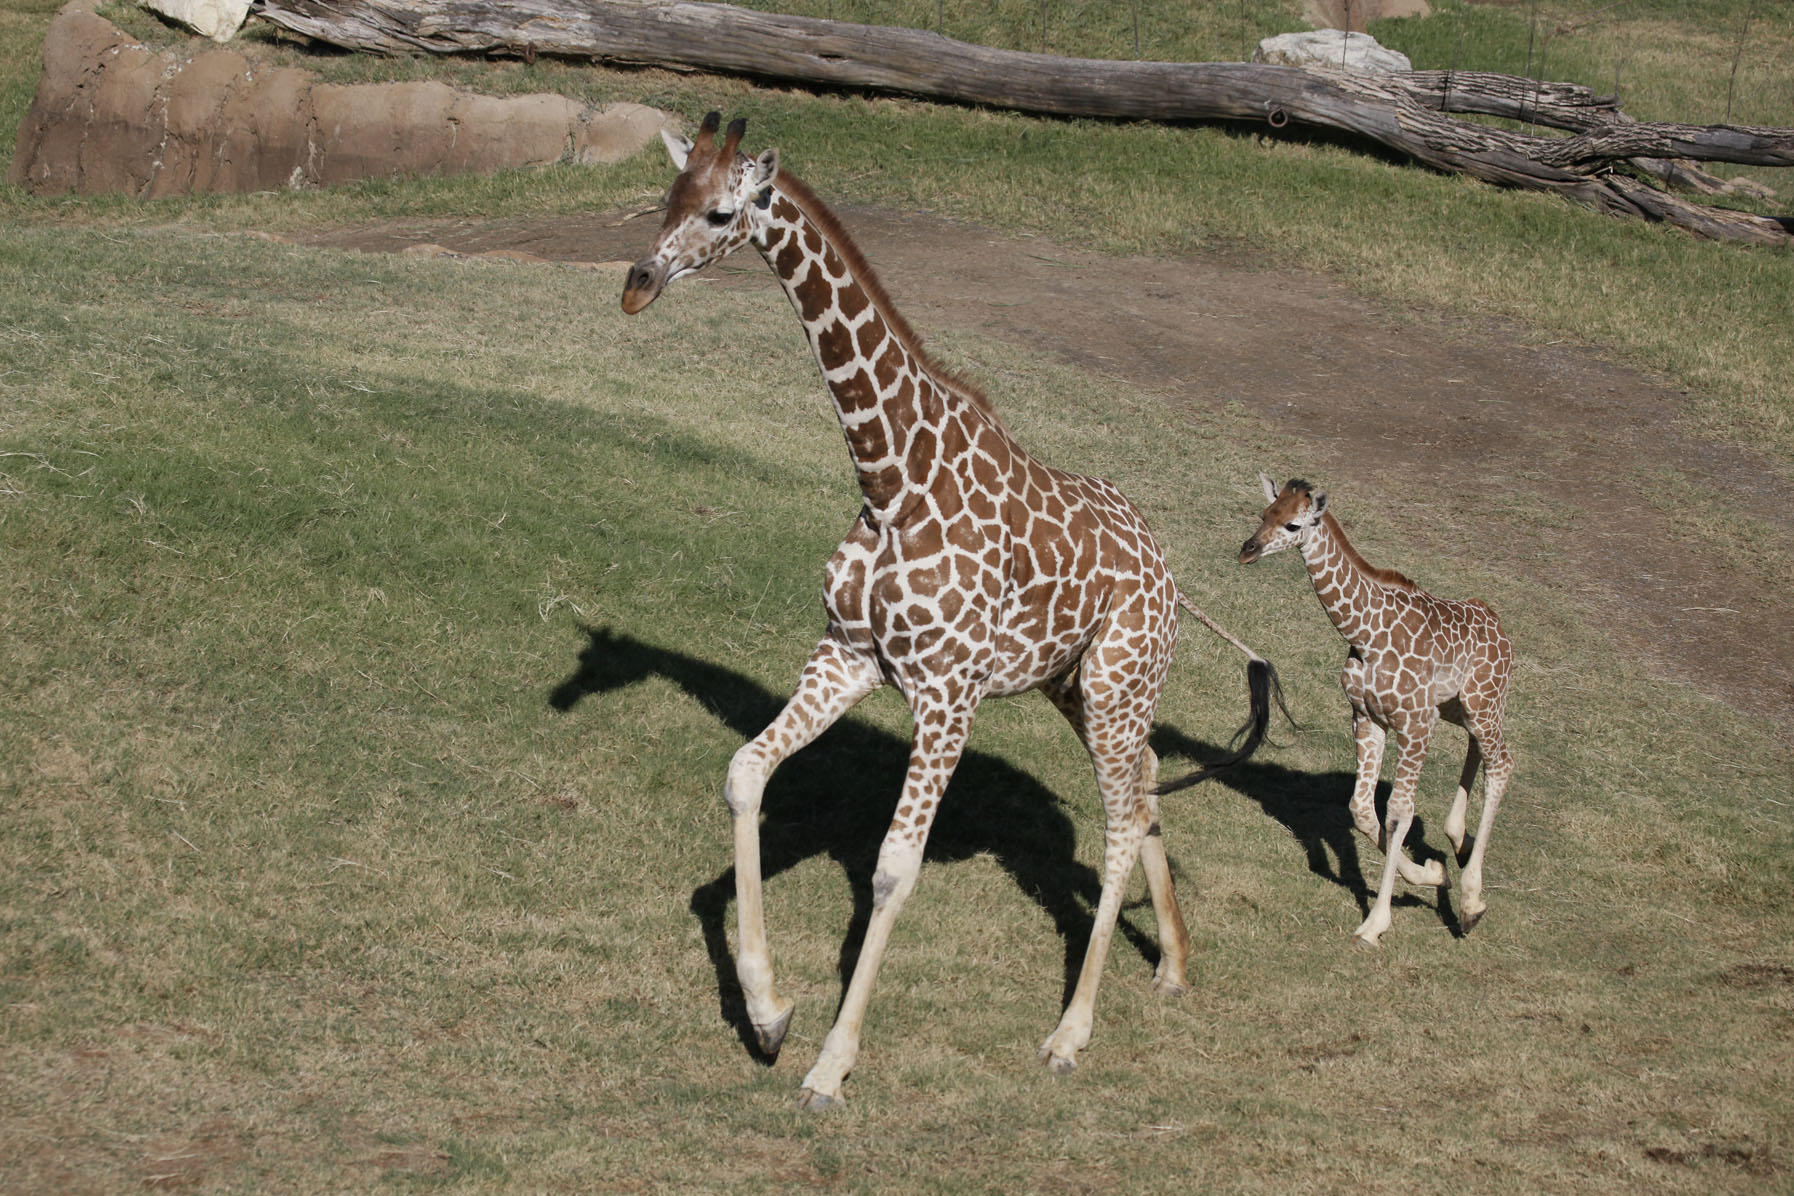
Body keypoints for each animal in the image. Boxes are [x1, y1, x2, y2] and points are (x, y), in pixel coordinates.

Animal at [624, 116, 1284, 1111]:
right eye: (665, 197)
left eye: (721, 213)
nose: (638, 282)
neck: (892, 478)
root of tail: (1172, 577)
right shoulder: (848, 655)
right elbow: (744, 774)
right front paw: (768, 1013)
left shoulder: (946, 693)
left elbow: (893, 870)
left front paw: (830, 1064)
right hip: (1079, 687)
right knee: (1145, 786)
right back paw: (1172, 963)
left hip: (1115, 685)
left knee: (1121, 823)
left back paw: (1070, 1033)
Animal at [1248, 473, 1514, 946]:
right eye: (1265, 513)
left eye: (1293, 525)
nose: (1248, 549)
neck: (1366, 634)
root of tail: (1499, 625)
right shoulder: (1368, 716)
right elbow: (1361, 809)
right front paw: (1431, 873)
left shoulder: (1414, 725)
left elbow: (1398, 813)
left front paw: (1375, 922)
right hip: (1459, 707)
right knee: (1480, 751)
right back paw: (1457, 841)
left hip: (1484, 701)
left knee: (1501, 764)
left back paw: (1470, 903)